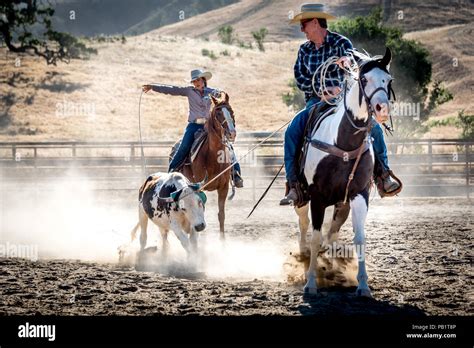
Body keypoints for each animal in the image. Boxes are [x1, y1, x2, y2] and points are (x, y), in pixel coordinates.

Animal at [179, 92, 236, 239]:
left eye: (231, 111)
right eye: (218, 113)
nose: (232, 133)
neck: (213, 158)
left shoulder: (223, 188)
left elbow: (221, 215)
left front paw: (223, 241)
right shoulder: (200, 187)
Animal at [298, 47, 394, 296]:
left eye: (388, 79)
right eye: (364, 79)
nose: (382, 109)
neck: (342, 142)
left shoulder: (359, 194)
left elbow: (359, 238)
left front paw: (363, 285)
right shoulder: (317, 197)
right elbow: (315, 237)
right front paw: (310, 283)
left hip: (342, 203)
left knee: (332, 232)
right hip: (301, 197)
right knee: (304, 224)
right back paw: (303, 255)